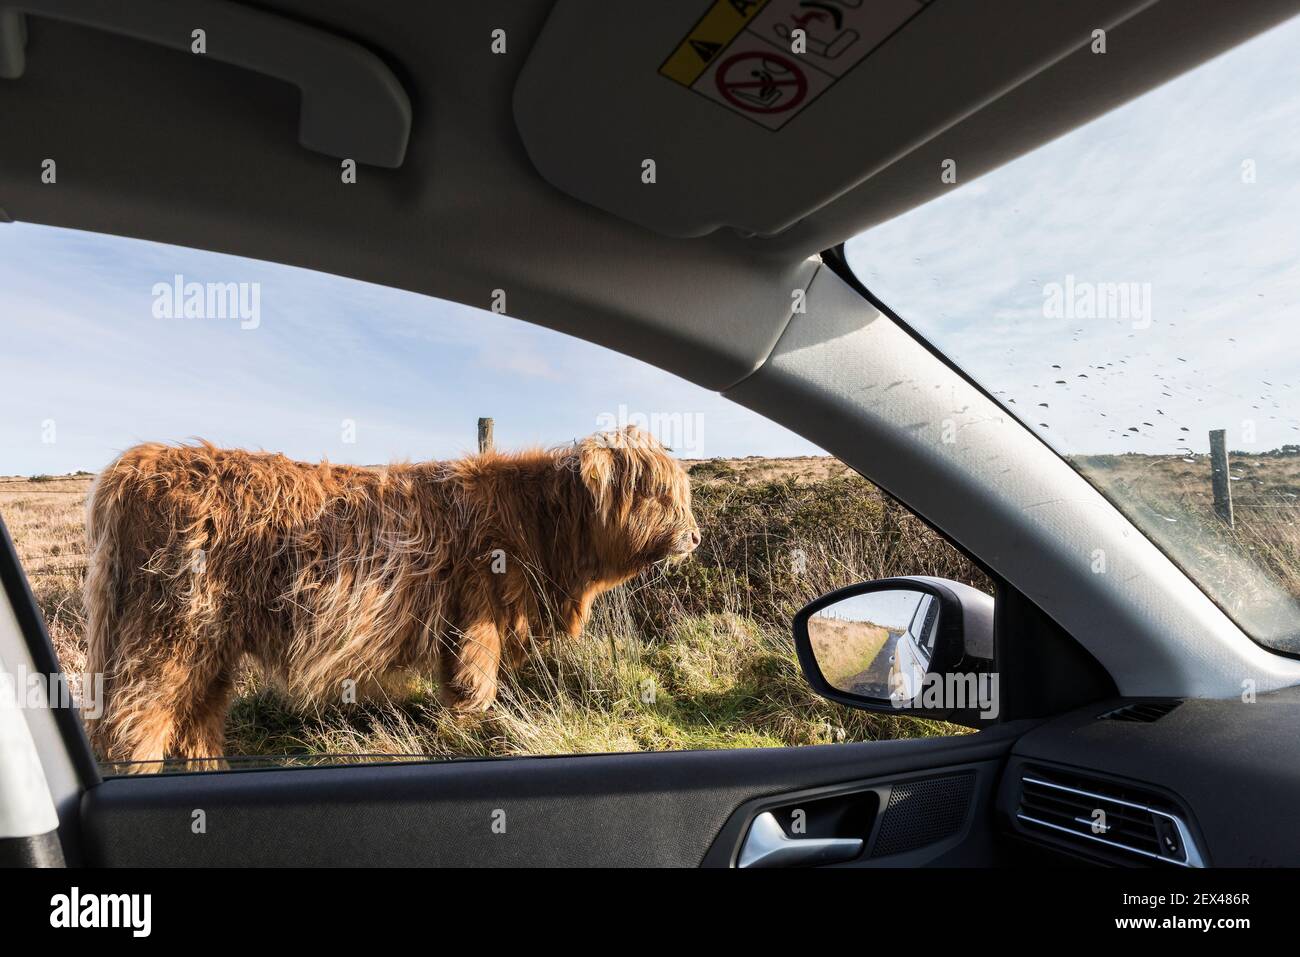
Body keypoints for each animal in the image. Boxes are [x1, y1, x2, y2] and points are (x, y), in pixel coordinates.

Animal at [82, 426, 702, 764]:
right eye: (655, 493)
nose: (695, 536)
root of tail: (139, 462)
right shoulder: (479, 616)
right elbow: (474, 685)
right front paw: (471, 734)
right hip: (168, 637)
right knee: (135, 721)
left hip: (210, 650)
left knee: (195, 720)